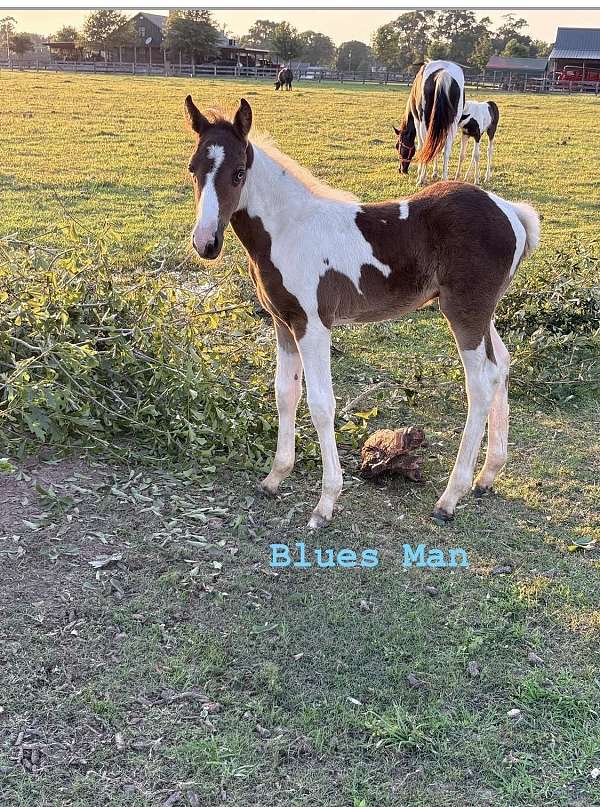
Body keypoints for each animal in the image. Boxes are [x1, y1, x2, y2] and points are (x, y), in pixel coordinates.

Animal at [184, 95, 540, 529]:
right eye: (193, 169)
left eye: (238, 173)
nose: (206, 243)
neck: (288, 229)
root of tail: (510, 212)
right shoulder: (283, 323)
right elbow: (285, 393)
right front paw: (274, 477)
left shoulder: (313, 325)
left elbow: (321, 405)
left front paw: (325, 503)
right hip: (483, 313)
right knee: (502, 364)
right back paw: (487, 475)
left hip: (464, 312)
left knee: (481, 383)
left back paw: (449, 498)